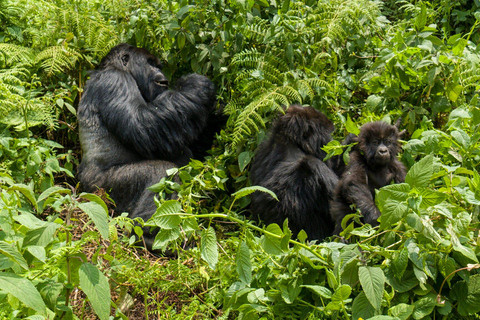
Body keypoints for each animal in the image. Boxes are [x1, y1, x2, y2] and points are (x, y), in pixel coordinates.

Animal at [77, 43, 216, 248]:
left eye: (158, 65)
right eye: (150, 63)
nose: (161, 74)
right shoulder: (116, 80)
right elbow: (142, 124)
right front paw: (195, 86)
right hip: (99, 192)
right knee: (159, 172)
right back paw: (147, 234)